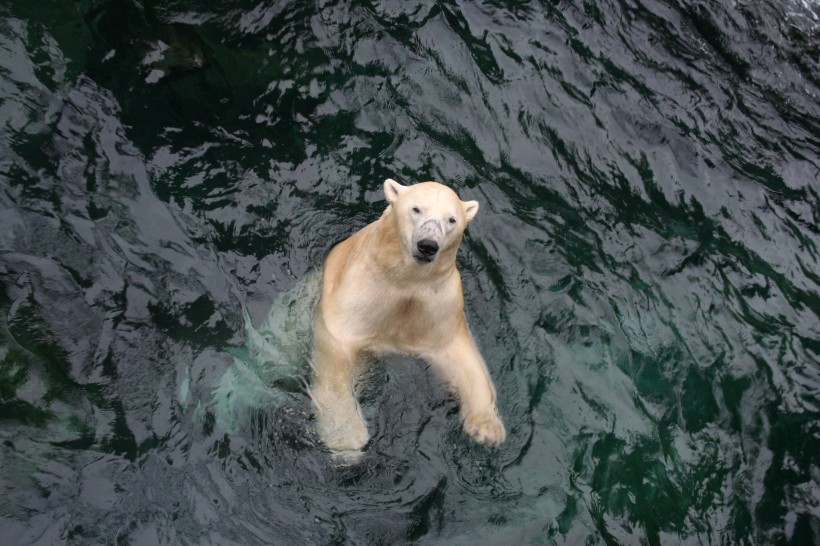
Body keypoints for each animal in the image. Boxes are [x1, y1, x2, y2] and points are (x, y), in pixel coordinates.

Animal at [310, 177, 502, 454]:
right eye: (416, 209)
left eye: (451, 219)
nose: (428, 245)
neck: (405, 280)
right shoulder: (358, 292)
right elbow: (337, 355)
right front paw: (348, 438)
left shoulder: (438, 304)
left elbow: (461, 358)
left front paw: (487, 430)